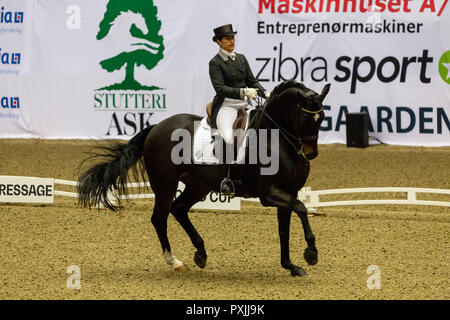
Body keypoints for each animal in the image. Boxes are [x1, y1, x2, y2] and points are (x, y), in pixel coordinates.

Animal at [78, 80, 330, 276]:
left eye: (322, 118)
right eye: (306, 118)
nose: (311, 154)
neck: (276, 138)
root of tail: (156, 127)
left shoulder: (287, 192)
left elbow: (284, 229)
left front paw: (291, 265)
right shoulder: (269, 194)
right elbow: (302, 209)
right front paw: (311, 253)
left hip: (197, 186)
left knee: (178, 209)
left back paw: (200, 253)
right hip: (165, 184)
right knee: (159, 218)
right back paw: (175, 262)